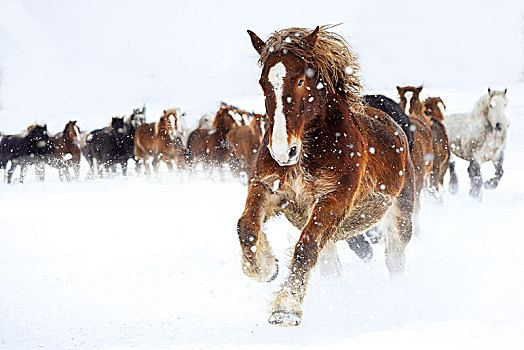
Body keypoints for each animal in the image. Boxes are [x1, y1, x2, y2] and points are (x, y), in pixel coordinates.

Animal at [237, 26, 414, 326]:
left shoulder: (334, 199)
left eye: (300, 80)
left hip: (399, 215)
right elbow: (246, 228)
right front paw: (266, 267)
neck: (310, 150)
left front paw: (285, 309)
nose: (283, 151)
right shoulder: (268, 188)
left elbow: (305, 247)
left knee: (395, 260)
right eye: (263, 82)